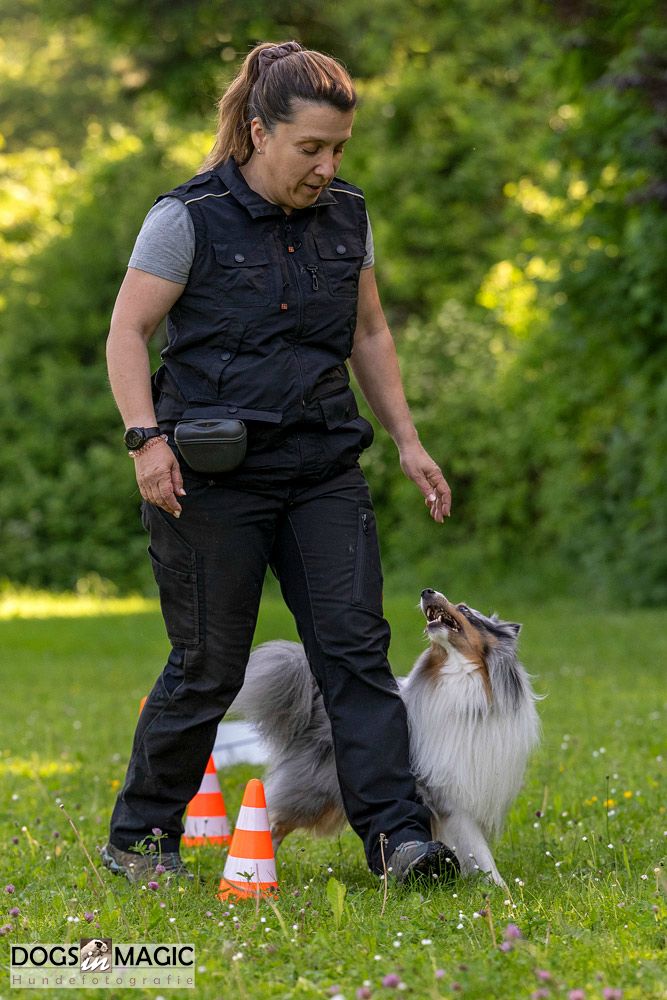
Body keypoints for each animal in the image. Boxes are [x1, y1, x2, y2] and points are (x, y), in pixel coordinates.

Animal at [232, 588, 540, 885]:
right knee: (272, 823)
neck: (462, 681)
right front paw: (500, 887)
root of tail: (317, 707)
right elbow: (477, 846)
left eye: (464, 609)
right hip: (311, 794)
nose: (427, 591)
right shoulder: (449, 795)